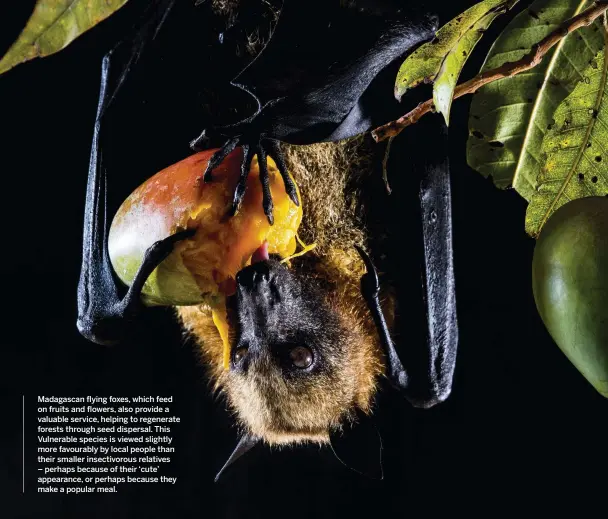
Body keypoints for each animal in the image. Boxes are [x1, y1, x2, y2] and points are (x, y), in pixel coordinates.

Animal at [75, 0, 456, 480]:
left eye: (300, 356)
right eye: (239, 353)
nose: (253, 279)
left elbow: (427, 387)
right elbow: (99, 323)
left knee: (413, 29)